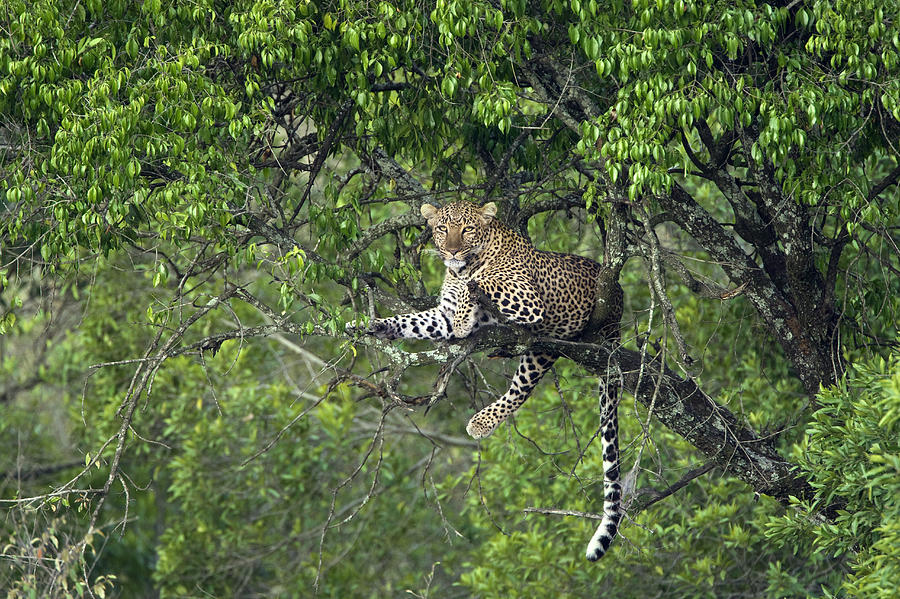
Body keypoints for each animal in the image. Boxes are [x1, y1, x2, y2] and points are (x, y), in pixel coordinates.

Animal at [359, 200, 623, 561]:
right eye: (442, 229)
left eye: (467, 229)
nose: (452, 250)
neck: (461, 269)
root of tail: (619, 302)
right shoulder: (438, 315)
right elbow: (411, 320)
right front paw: (374, 325)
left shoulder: (526, 299)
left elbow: (483, 283)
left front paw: (464, 317)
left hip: (543, 346)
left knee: (519, 391)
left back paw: (480, 423)